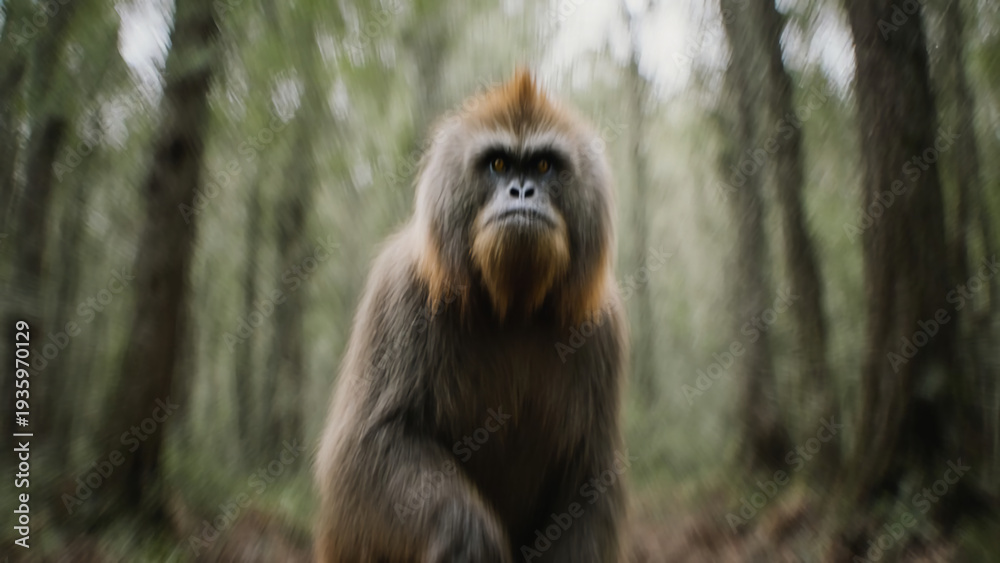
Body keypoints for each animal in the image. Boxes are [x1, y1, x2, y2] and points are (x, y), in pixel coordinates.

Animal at [314, 70, 628, 563]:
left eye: (542, 166)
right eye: (499, 164)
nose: (522, 192)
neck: (513, 308)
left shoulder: (603, 329)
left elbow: (589, 481)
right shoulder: (402, 290)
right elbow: (363, 450)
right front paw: (467, 532)